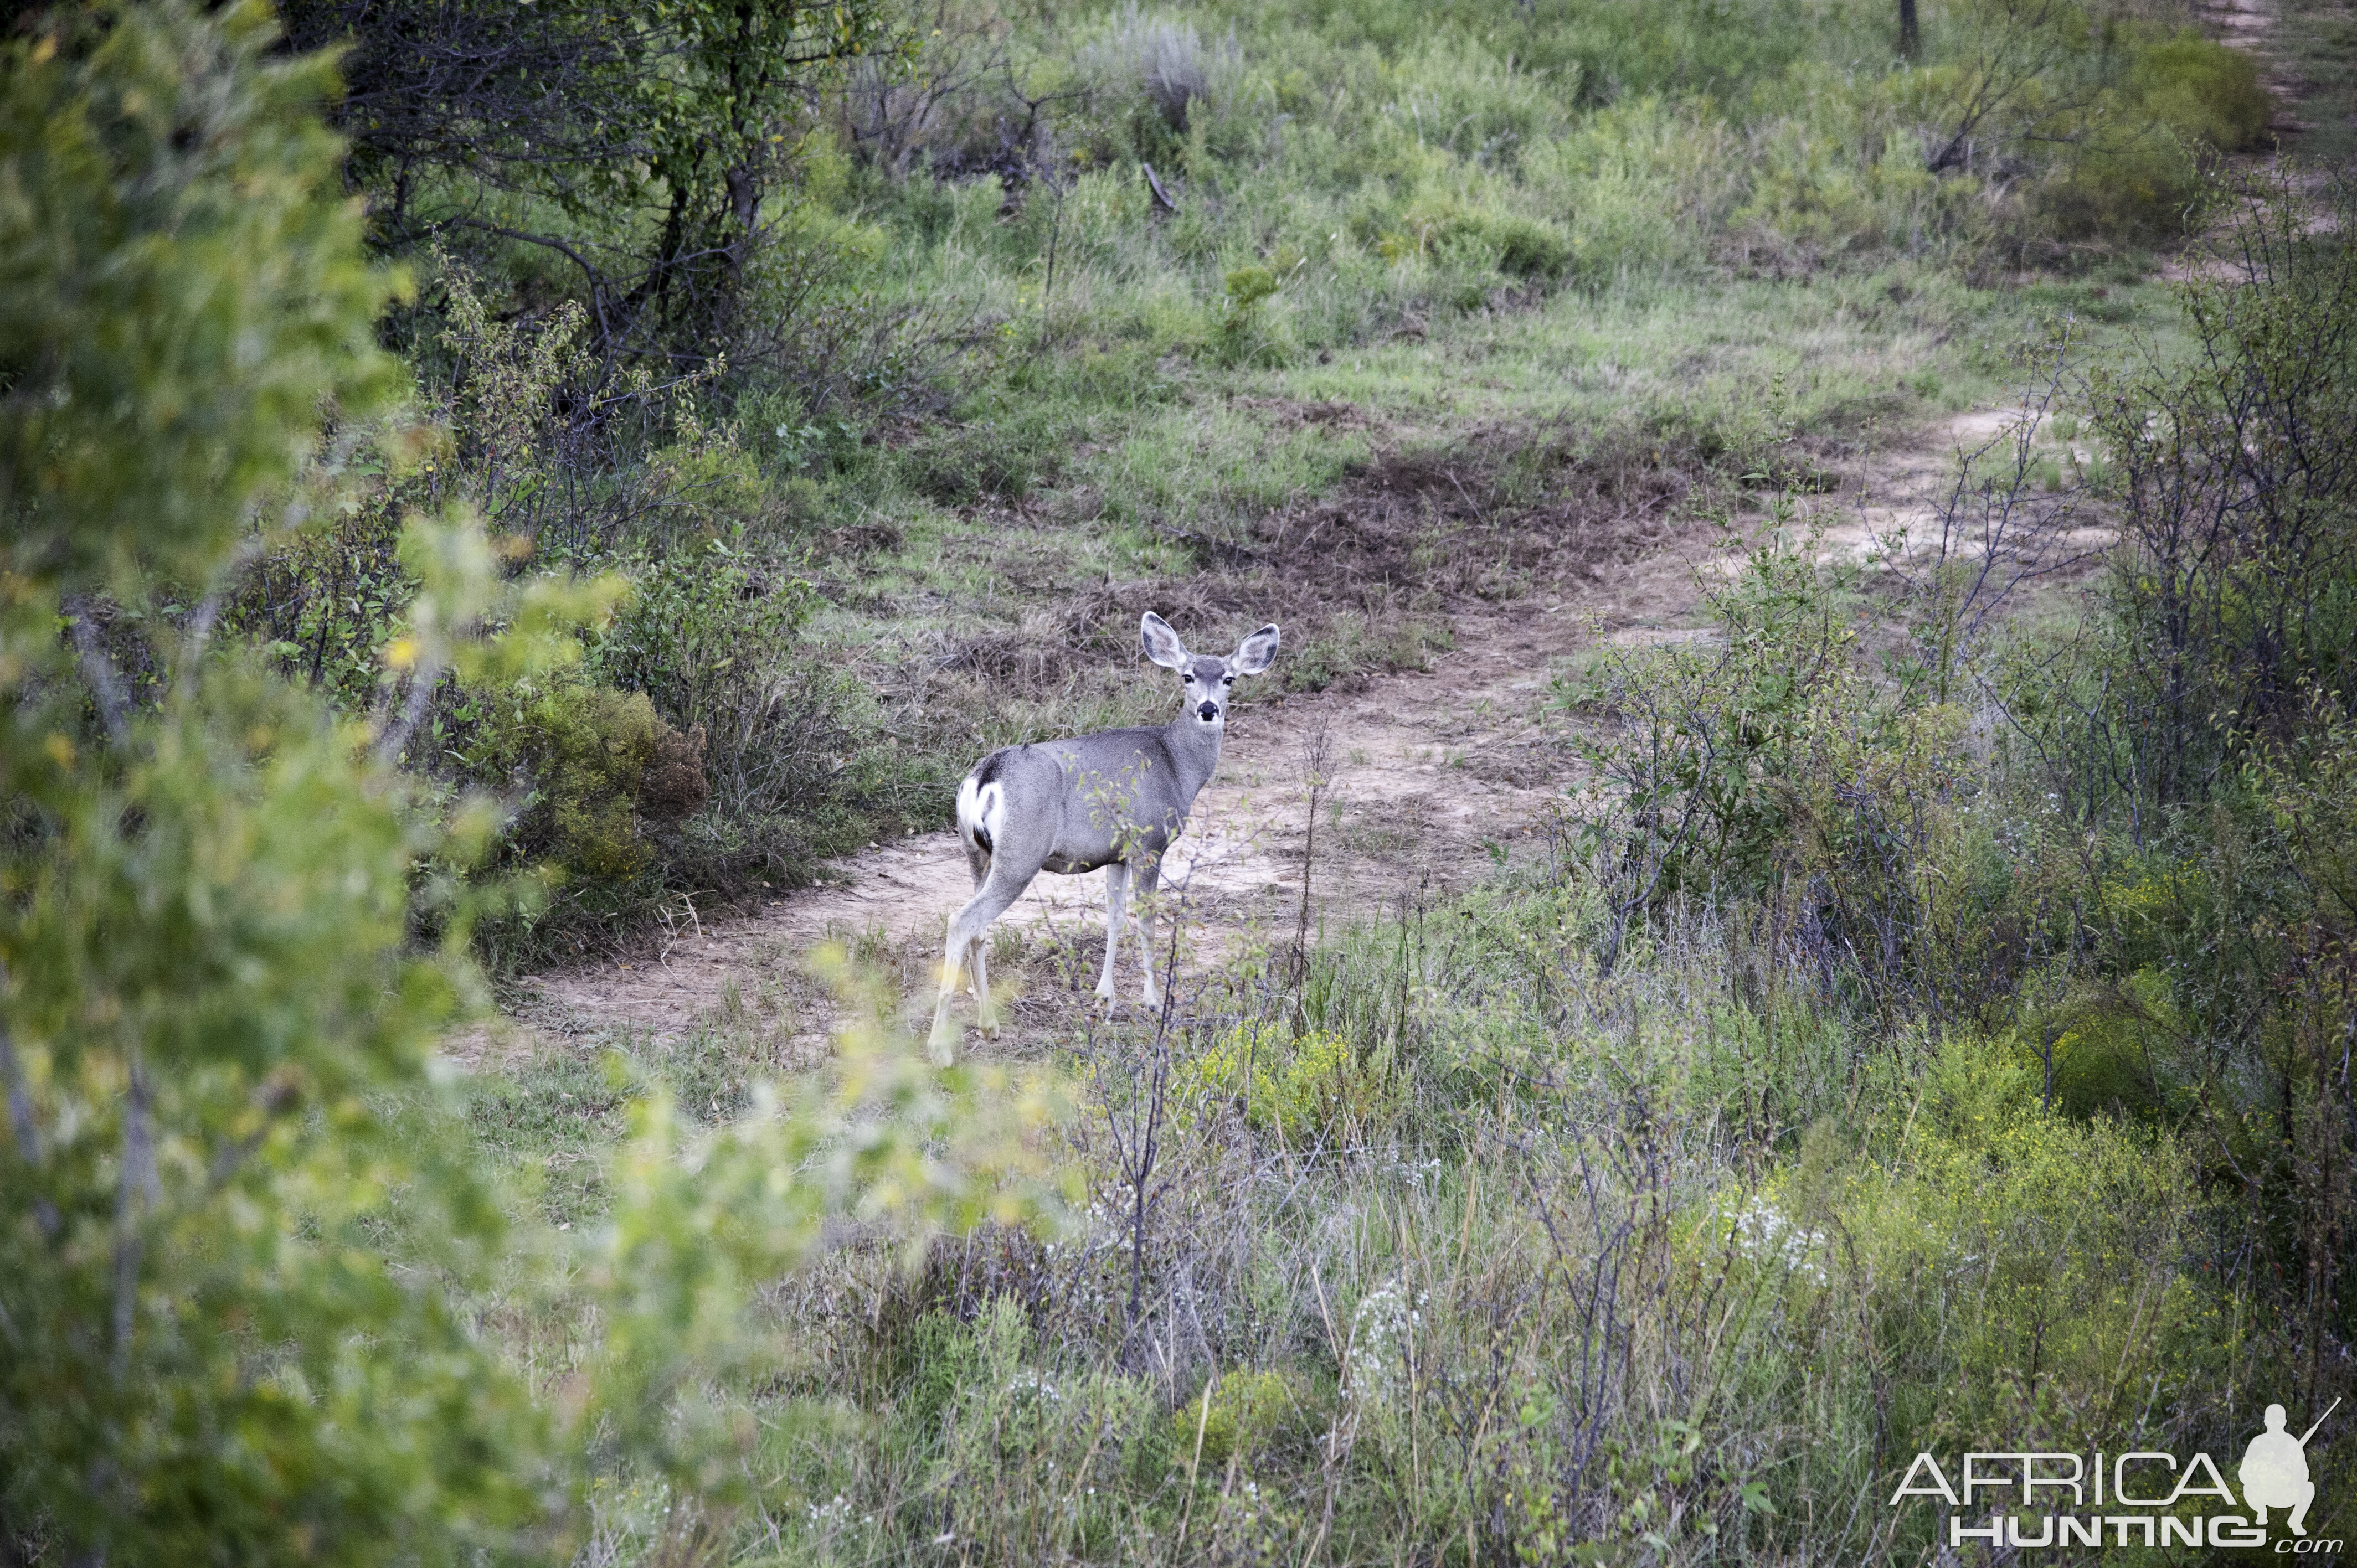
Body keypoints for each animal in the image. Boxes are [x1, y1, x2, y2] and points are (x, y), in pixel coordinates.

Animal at [928, 613, 1282, 1051]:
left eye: (1229, 679)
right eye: (1187, 676)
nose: (1208, 709)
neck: (1176, 766)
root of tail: (986, 776)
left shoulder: (1118, 853)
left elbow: (1114, 918)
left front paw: (1105, 999)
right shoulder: (1150, 843)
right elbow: (1146, 920)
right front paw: (1153, 1001)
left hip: (977, 852)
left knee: (977, 926)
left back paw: (989, 1024)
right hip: (1021, 854)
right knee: (962, 921)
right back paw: (939, 1046)